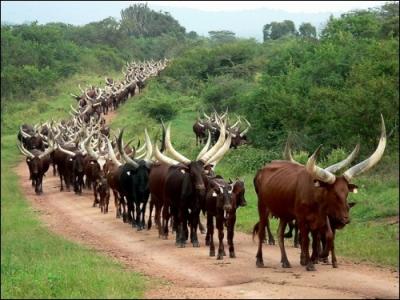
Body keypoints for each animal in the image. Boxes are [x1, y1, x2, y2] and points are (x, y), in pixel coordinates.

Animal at [253, 115, 388, 270]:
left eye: (346, 193)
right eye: (334, 193)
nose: (346, 219)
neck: (315, 199)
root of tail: (262, 170)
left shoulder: (320, 220)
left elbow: (322, 239)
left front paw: (317, 257)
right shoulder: (301, 219)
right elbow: (306, 240)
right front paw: (309, 263)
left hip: (284, 214)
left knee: (280, 233)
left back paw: (285, 261)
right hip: (263, 207)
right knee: (262, 230)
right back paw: (259, 260)